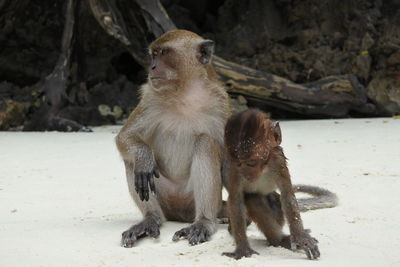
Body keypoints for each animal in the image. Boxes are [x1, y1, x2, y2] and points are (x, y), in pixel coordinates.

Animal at [114, 28, 230, 247]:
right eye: (153, 54)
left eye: (165, 53)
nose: (152, 67)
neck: (185, 93)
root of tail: (181, 213)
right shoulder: (150, 99)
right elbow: (126, 137)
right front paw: (143, 157)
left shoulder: (220, 104)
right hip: (165, 196)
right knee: (132, 161)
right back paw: (151, 218)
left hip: (196, 199)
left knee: (205, 143)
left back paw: (204, 222)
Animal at [223, 109, 320, 262]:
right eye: (239, 163)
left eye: (251, 163)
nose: (246, 174)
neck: (263, 168)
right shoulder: (233, 169)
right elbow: (235, 200)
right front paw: (243, 249)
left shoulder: (277, 159)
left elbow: (287, 194)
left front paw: (300, 238)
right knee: (252, 198)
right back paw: (278, 240)